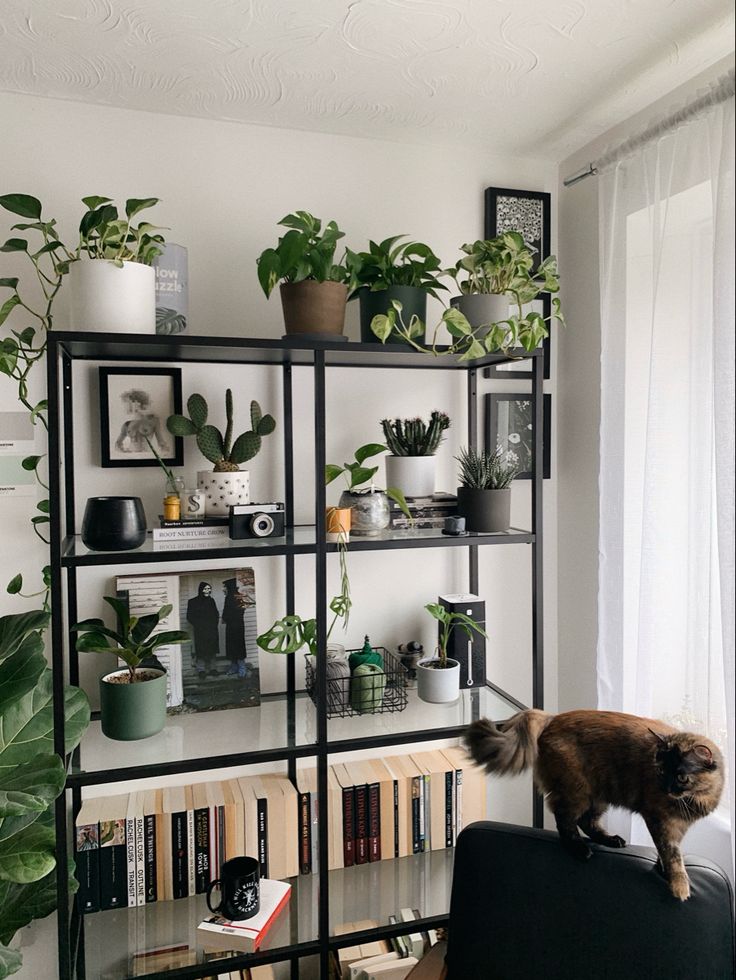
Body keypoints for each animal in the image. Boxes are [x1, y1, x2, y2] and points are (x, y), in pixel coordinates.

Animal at [466, 708, 724, 900]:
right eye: (661, 771)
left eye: (680, 777)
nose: (666, 788)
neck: (696, 798)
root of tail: (552, 717)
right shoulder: (659, 819)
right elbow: (671, 853)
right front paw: (679, 885)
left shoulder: (678, 825)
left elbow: (667, 850)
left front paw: (662, 868)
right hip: (577, 790)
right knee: (565, 820)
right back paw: (580, 849)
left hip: (598, 795)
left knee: (586, 821)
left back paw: (611, 840)